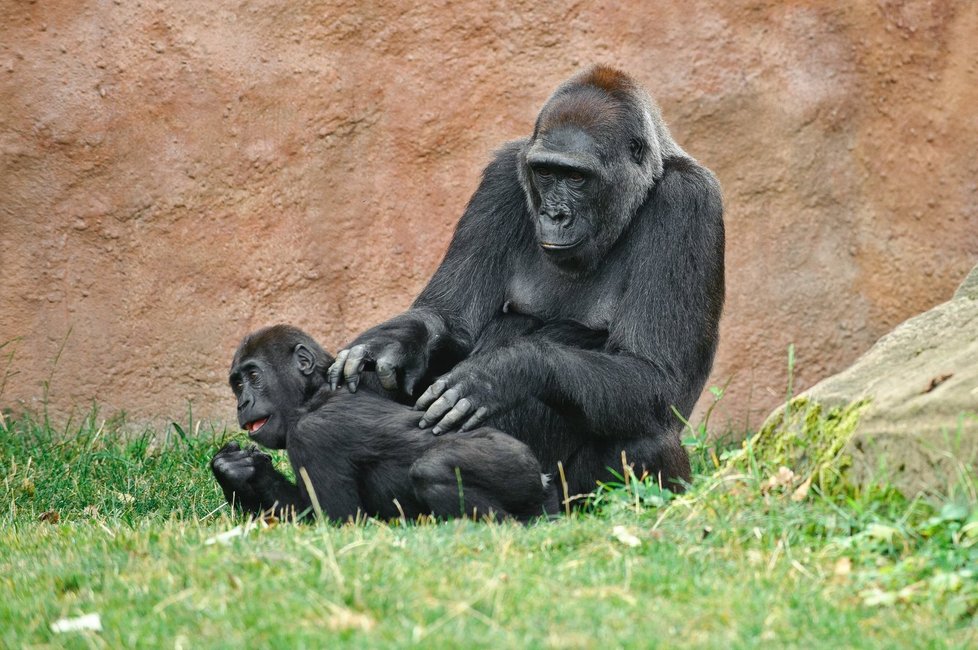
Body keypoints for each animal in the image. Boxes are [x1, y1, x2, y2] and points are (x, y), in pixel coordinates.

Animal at [211, 324, 552, 520]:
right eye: (237, 384)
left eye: (254, 377)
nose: (243, 403)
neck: (312, 395)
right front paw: (238, 471)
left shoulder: (311, 435)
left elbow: (339, 523)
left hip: (515, 464)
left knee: (432, 471)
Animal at [326, 66, 716, 494]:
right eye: (545, 172)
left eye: (576, 177)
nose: (554, 214)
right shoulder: (501, 178)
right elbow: (449, 318)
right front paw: (393, 343)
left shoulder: (688, 204)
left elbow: (655, 374)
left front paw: (506, 373)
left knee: (645, 435)